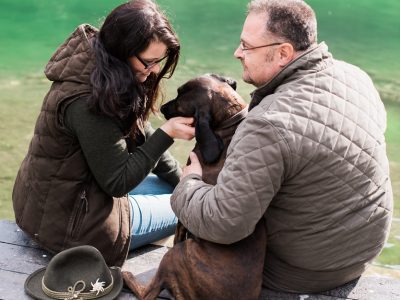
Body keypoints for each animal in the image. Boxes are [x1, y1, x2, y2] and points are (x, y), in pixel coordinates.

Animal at [120, 74, 268, 300]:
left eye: (180, 98)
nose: (162, 107)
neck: (227, 125)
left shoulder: (183, 213)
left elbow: (177, 236)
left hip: (176, 255)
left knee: (149, 292)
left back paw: (127, 276)